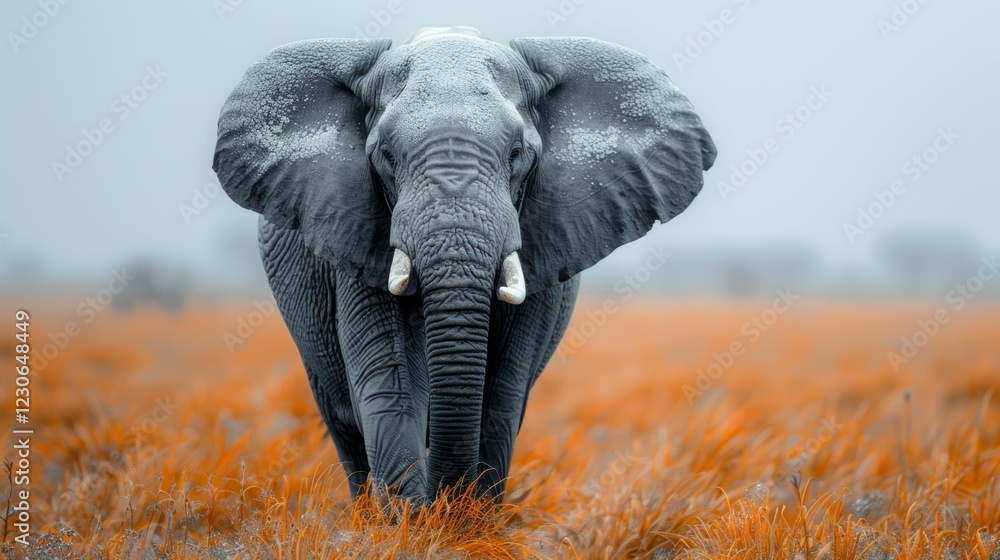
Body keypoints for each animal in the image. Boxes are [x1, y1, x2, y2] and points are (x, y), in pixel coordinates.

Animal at [213, 26, 716, 502]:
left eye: (517, 154)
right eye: (386, 156)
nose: (442, 500)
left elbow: (503, 394)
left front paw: (467, 519)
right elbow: (391, 382)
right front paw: (413, 523)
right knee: (343, 426)